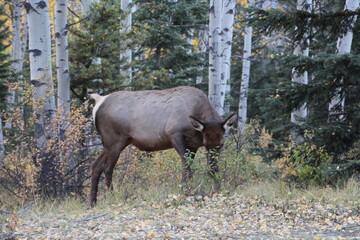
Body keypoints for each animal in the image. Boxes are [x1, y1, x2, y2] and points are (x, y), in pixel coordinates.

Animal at [89, 86, 236, 206]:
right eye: (205, 143)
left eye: (221, 144)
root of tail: (98, 102)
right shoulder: (174, 134)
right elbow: (186, 165)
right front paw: (185, 191)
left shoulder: (193, 145)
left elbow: (198, 166)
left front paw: (217, 189)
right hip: (115, 141)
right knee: (108, 168)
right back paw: (112, 196)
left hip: (111, 143)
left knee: (96, 166)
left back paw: (93, 202)